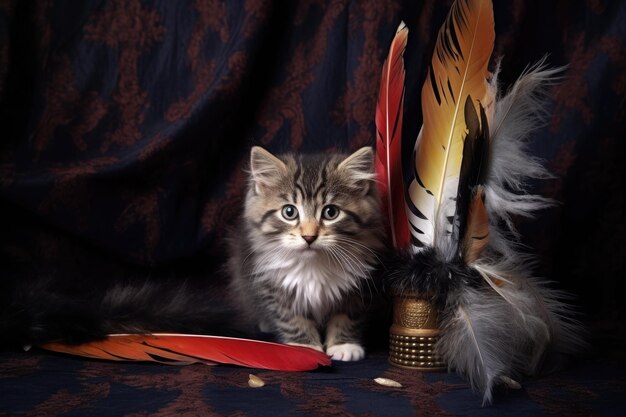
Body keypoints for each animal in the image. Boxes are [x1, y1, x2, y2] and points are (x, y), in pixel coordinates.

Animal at [228, 146, 386, 360]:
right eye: (289, 212)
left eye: (330, 212)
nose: (309, 237)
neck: (313, 264)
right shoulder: (277, 288)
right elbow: (293, 320)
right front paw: (304, 348)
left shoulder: (357, 288)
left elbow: (346, 317)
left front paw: (344, 345)